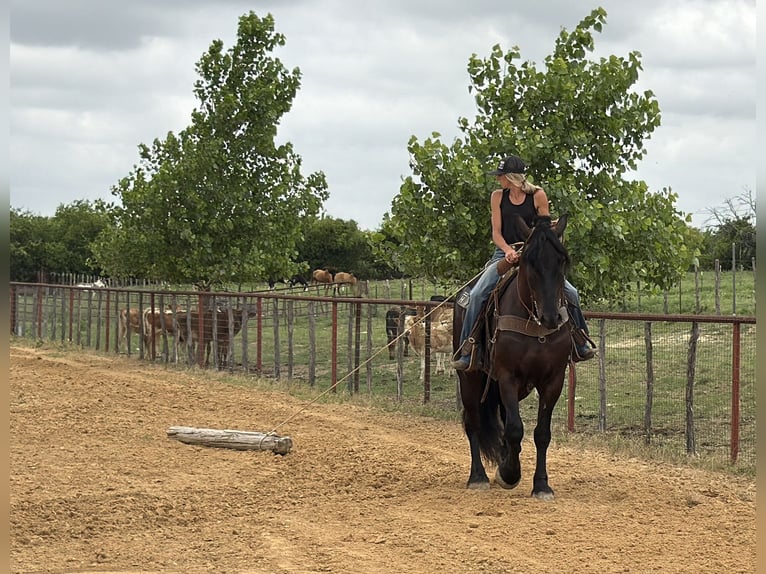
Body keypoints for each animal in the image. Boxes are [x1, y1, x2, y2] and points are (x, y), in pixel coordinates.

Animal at [453, 214, 572, 499]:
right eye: (528, 259)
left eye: (562, 260)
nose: (551, 317)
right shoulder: (507, 376)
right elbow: (516, 429)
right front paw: (508, 474)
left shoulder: (553, 380)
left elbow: (541, 433)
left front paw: (541, 485)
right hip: (470, 379)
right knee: (473, 423)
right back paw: (478, 477)